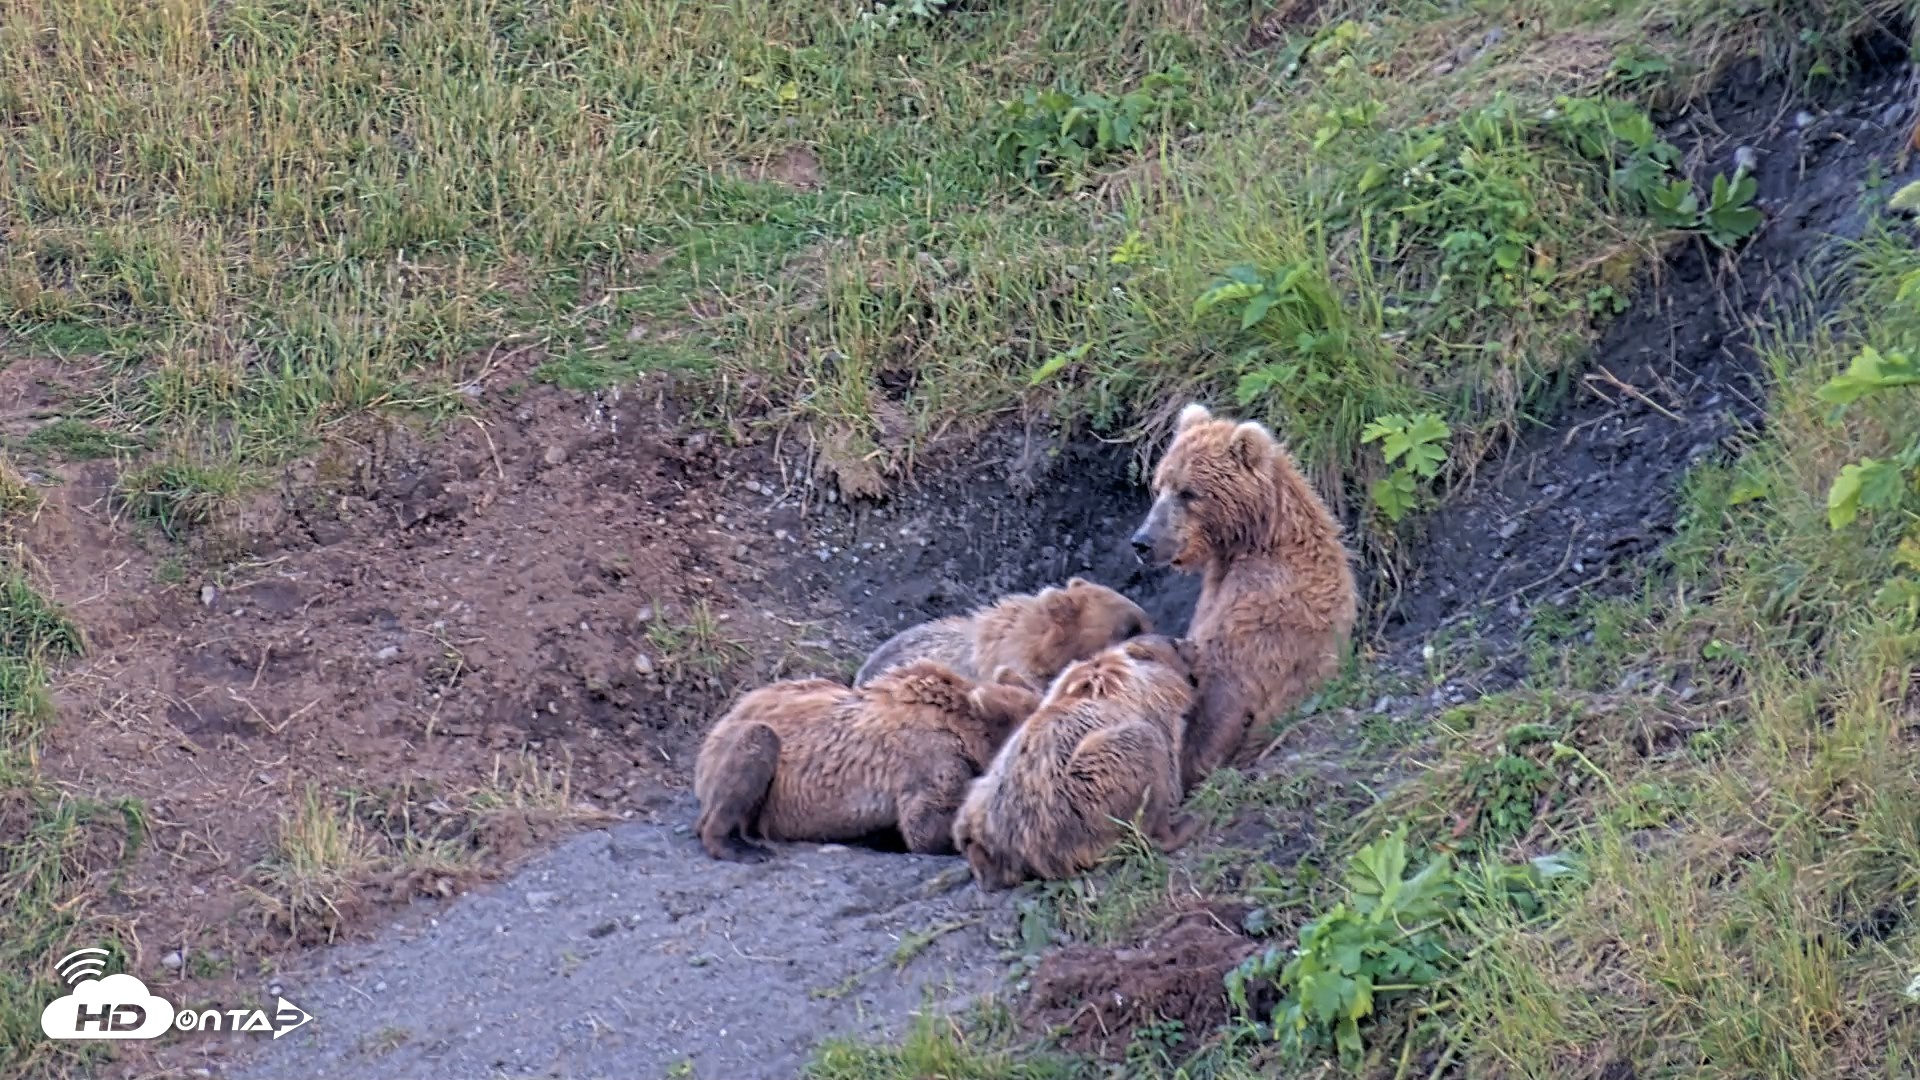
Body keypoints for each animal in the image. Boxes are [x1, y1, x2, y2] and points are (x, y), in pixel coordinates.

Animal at [950, 634, 1201, 891]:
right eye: (1173, 642)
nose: (1192, 643)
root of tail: (1014, 854)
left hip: (980, 794)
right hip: (1096, 783)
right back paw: (1180, 827)